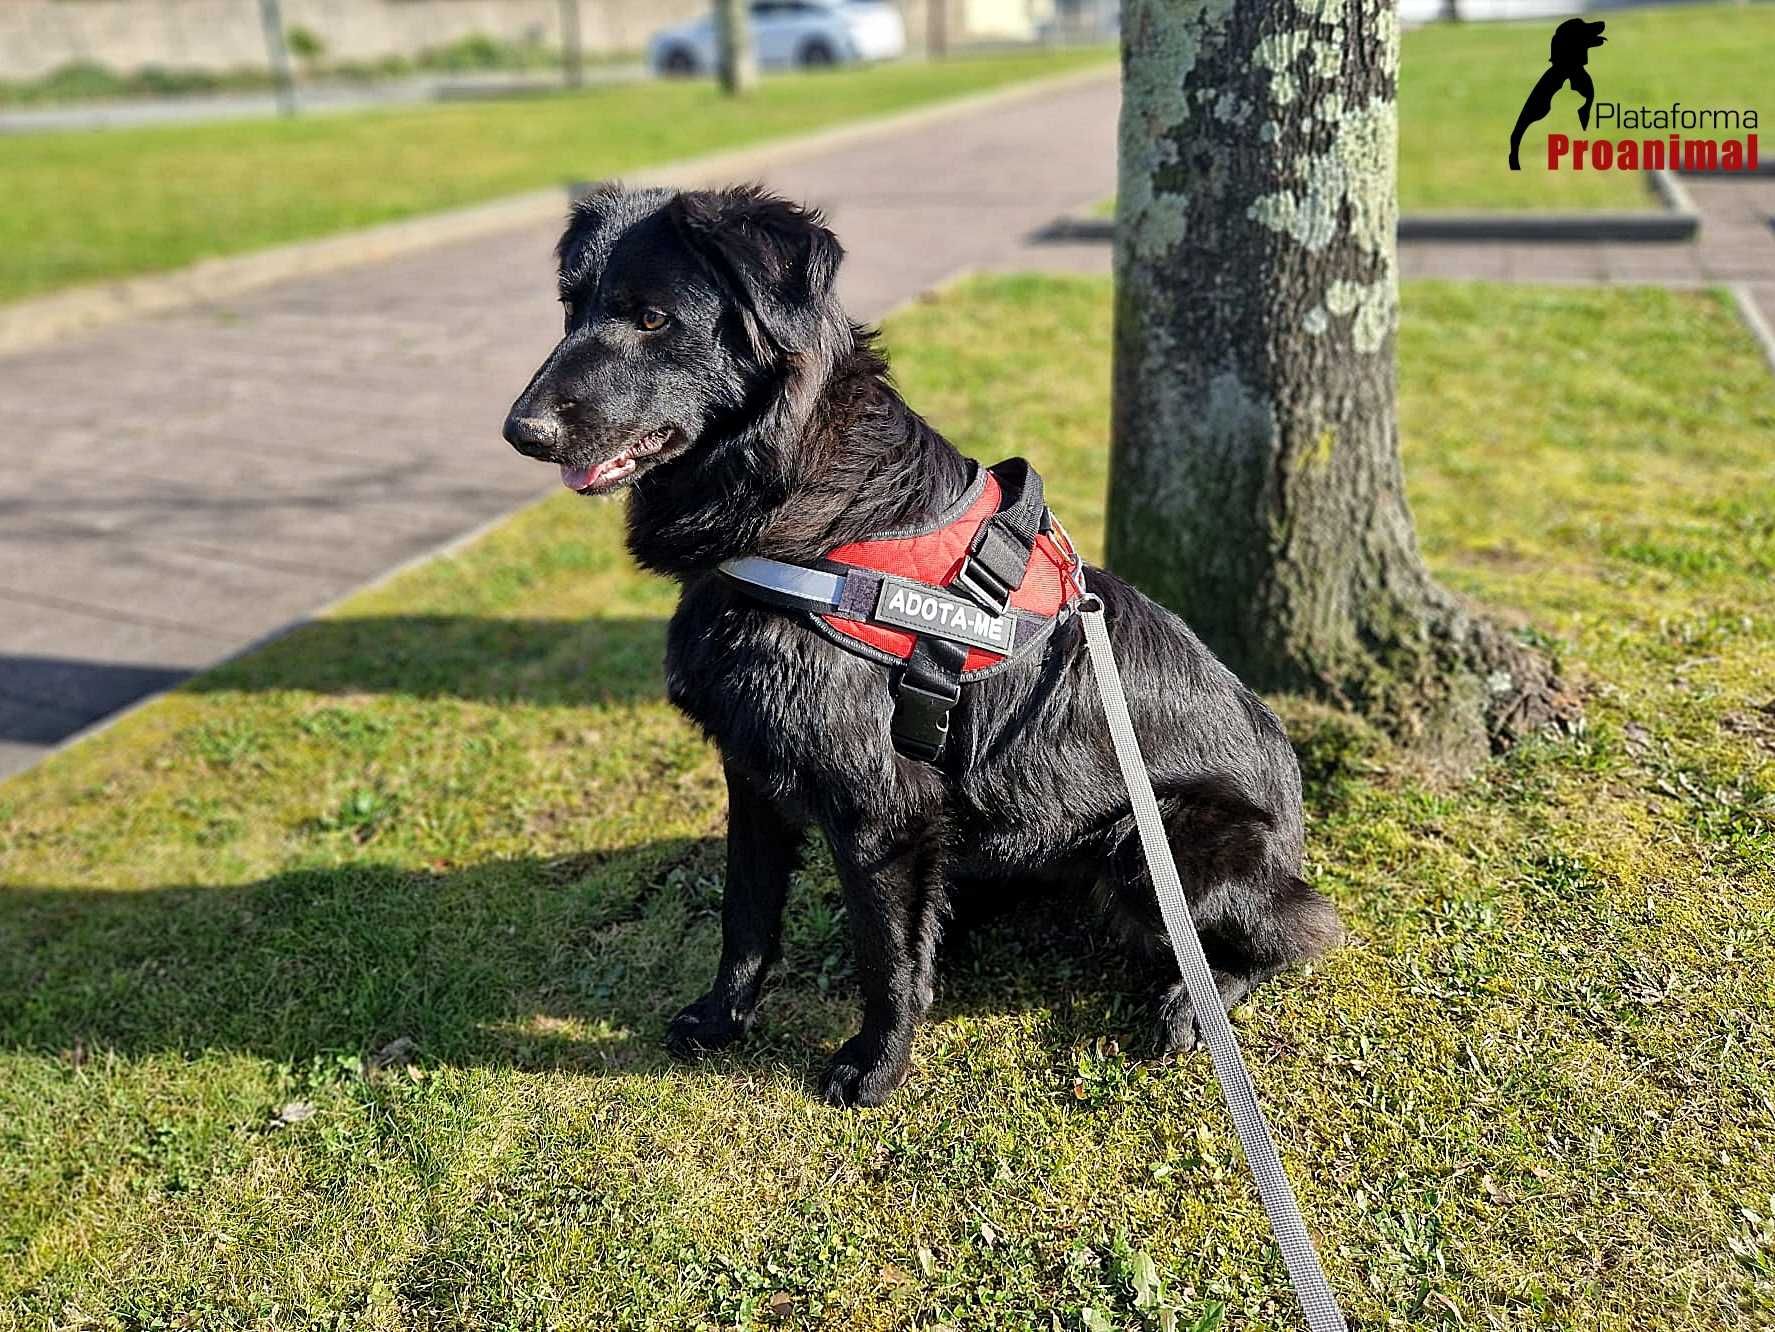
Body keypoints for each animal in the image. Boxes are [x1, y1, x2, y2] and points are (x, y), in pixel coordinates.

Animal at [507, 185, 1334, 1108]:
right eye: (571, 309)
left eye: (651, 317)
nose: (520, 430)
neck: (796, 510)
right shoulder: (752, 773)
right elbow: (744, 916)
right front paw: (723, 1020)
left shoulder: (881, 804)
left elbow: (885, 957)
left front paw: (876, 1064)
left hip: (1153, 845)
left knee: (1293, 933)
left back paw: (1200, 999)